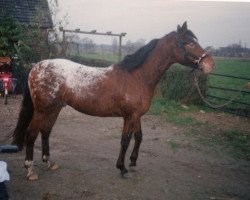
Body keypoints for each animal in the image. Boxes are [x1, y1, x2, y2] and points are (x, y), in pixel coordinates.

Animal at [12, 21, 215, 180]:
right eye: (189, 43)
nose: (210, 64)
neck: (137, 77)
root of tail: (36, 66)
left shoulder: (136, 116)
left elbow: (139, 137)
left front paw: (133, 162)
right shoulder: (130, 116)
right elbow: (125, 140)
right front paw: (122, 168)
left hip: (54, 109)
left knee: (46, 132)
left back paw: (49, 162)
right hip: (42, 110)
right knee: (31, 134)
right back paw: (30, 170)